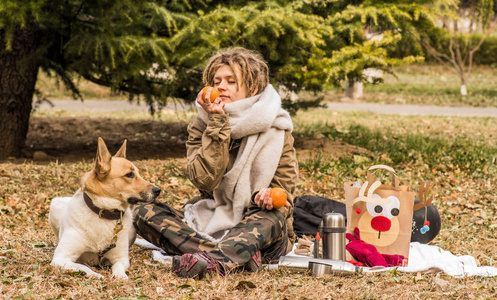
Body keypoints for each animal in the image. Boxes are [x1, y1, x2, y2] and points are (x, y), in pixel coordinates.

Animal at [49, 138, 160, 278]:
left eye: (139, 174)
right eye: (129, 174)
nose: (158, 190)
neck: (104, 212)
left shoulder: (121, 258)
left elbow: (118, 267)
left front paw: (121, 276)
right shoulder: (60, 258)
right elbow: (83, 267)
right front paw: (96, 276)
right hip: (55, 204)